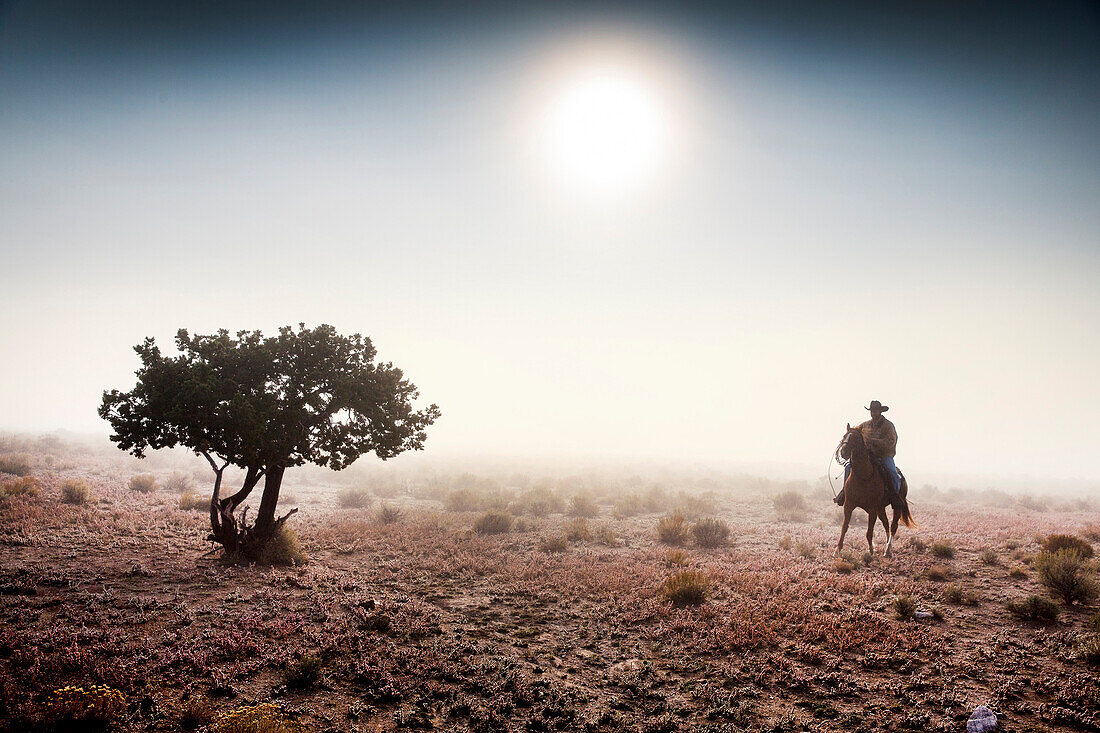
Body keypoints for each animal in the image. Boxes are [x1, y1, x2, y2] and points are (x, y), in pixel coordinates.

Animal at [836, 422, 915, 554]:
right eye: (844, 436)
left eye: (855, 438)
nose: (844, 452)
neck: (864, 476)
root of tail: (901, 476)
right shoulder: (849, 505)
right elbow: (844, 527)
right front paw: (837, 550)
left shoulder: (872, 508)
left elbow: (869, 532)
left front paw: (871, 550)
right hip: (881, 508)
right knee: (886, 524)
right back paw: (888, 547)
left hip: (897, 506)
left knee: (893, 526)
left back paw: (888, 550)